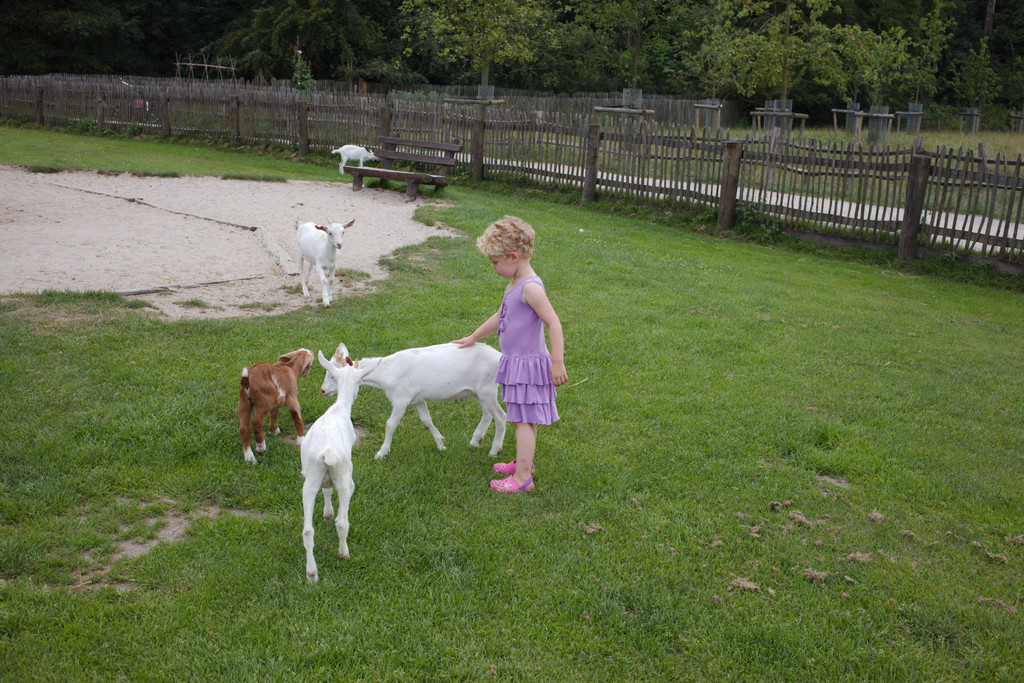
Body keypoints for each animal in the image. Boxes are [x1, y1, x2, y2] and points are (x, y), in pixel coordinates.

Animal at [299, 350, 372, 585]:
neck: (339, 409)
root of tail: (328, 452)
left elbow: (326, 490)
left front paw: (327, 513)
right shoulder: (346, 475)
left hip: (310, 479)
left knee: (307, 530)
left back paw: (312, 574)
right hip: (342, 475)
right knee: (342, 523)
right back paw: (344, 553)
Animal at [319, 342, 503, 458]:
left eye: (333, 376)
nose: (323, 390)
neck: (387, 372)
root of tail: (499, 356)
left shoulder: (401, 399)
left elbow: (390, 425)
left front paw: (382, 452)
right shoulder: (417, 399)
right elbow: (426, 420)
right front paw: (441, 444)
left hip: (487, 390)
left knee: (501, 416)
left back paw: (494, 450)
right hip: (477, 392)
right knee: (487, 413)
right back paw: (475, 441)